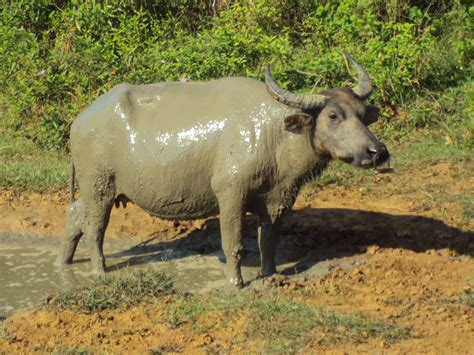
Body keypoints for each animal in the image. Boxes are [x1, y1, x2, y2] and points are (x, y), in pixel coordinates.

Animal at [55, 51, 388, 288]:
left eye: (361, 114)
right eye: (332, 116)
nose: (378, 152)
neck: (274, 134)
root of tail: (80, 121)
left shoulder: (277, 198)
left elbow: (268, 240)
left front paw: (270, 274)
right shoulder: (231, 192)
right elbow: (234, 243)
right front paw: (236, 282)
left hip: (97, 189)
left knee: (75, 214)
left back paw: (63, 263)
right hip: (99, 186)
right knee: (95, 228)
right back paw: (99, 270)